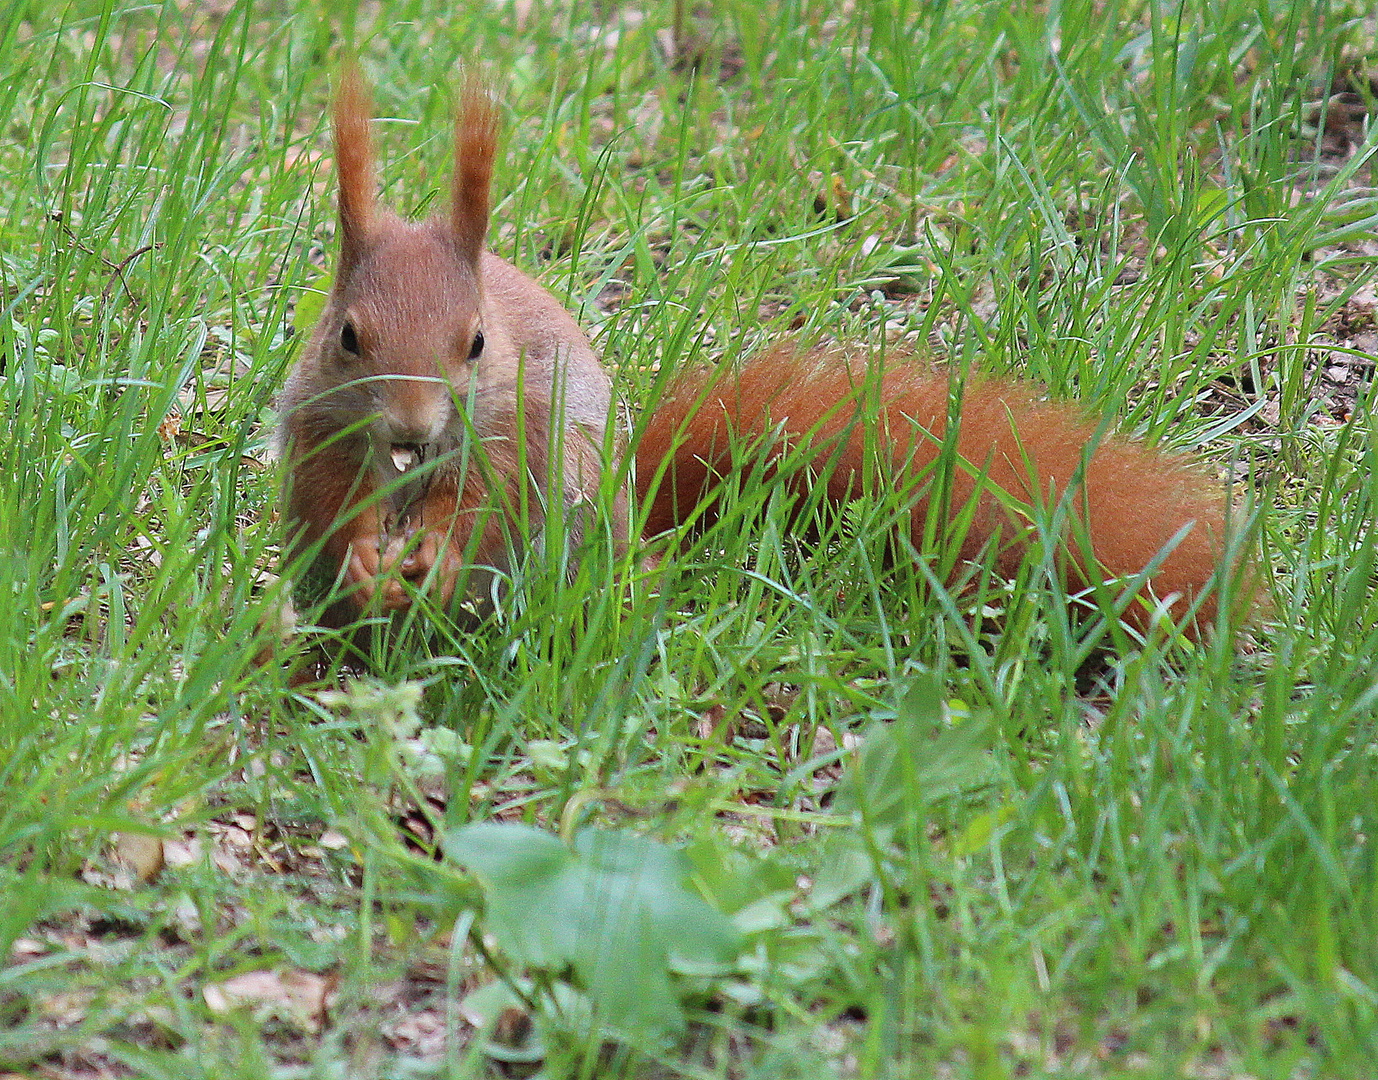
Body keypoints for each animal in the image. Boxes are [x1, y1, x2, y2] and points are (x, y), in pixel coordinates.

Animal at [274, 67, 1245, 636]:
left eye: (476, 343)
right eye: (347, 336)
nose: (412, 427)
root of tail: (637, 521)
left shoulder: (517, 434)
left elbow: (484, 505)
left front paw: (434, 553)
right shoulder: (320, 426)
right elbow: (330, 498)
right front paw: (365, 553)